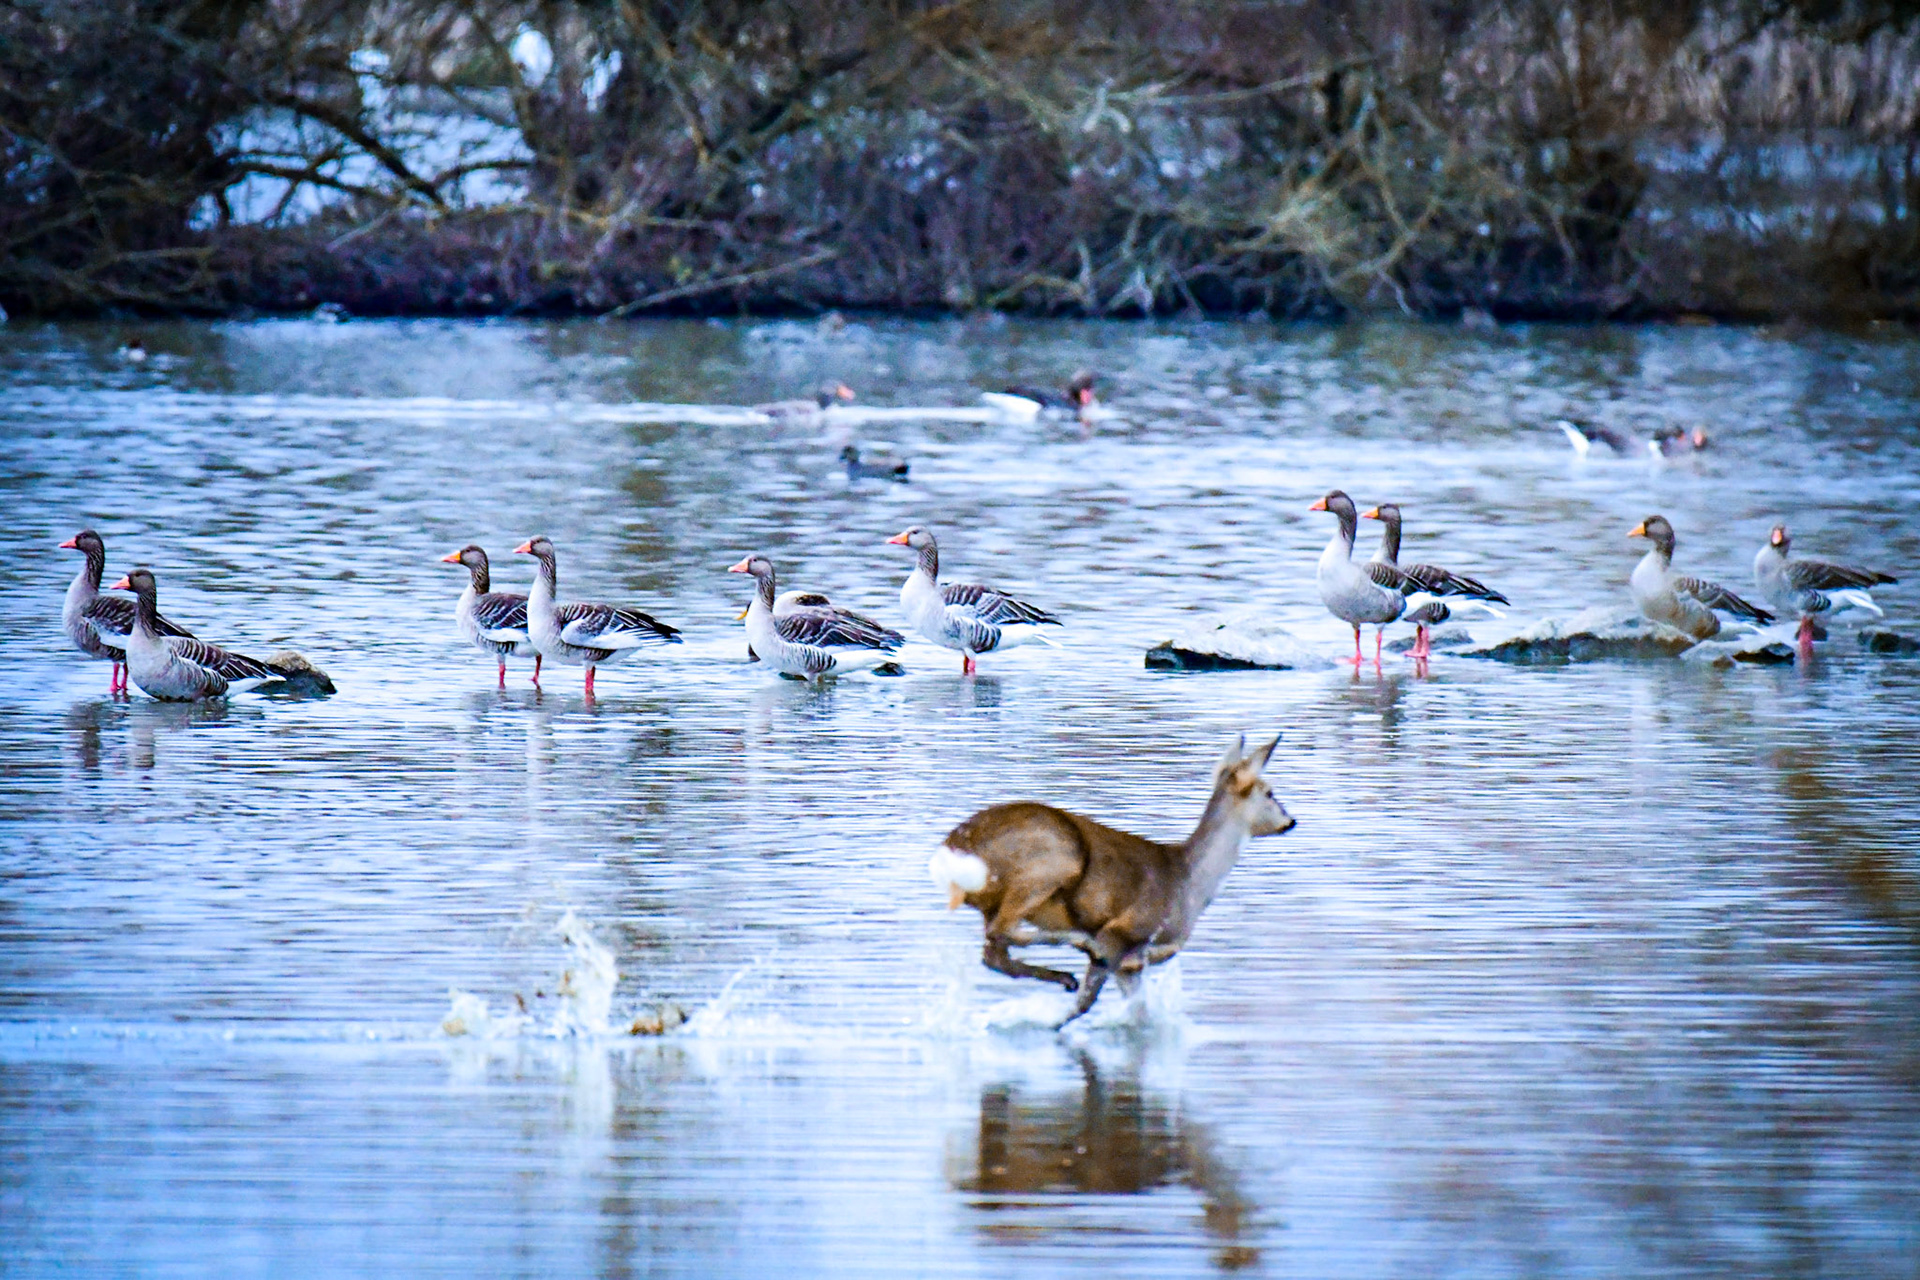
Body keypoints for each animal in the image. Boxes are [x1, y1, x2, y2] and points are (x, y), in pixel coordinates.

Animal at [929, 734, 1295, 1027]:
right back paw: (1078, 950)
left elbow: (1134, 1014)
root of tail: (952, 850)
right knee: (1002, 933)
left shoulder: (1131, 965)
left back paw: (1061, 978)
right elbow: (1089, 1007)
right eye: (1269, 792)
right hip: (1055, 861)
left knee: (993, 952)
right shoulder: (1128, 934)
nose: (1290, 821)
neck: (1188, 881)